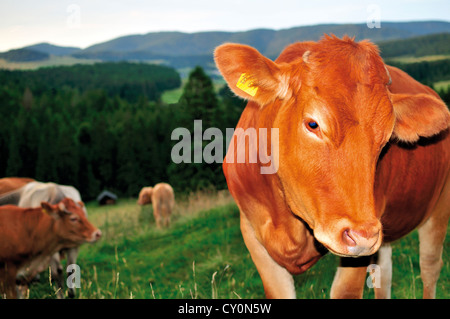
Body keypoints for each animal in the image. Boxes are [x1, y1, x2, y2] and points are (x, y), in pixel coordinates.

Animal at [214, 35, 450, 300]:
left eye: (387, 139)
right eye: (312, 124)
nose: (363, 236)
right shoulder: (251, 231)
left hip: (439, 205)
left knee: (429, 266)